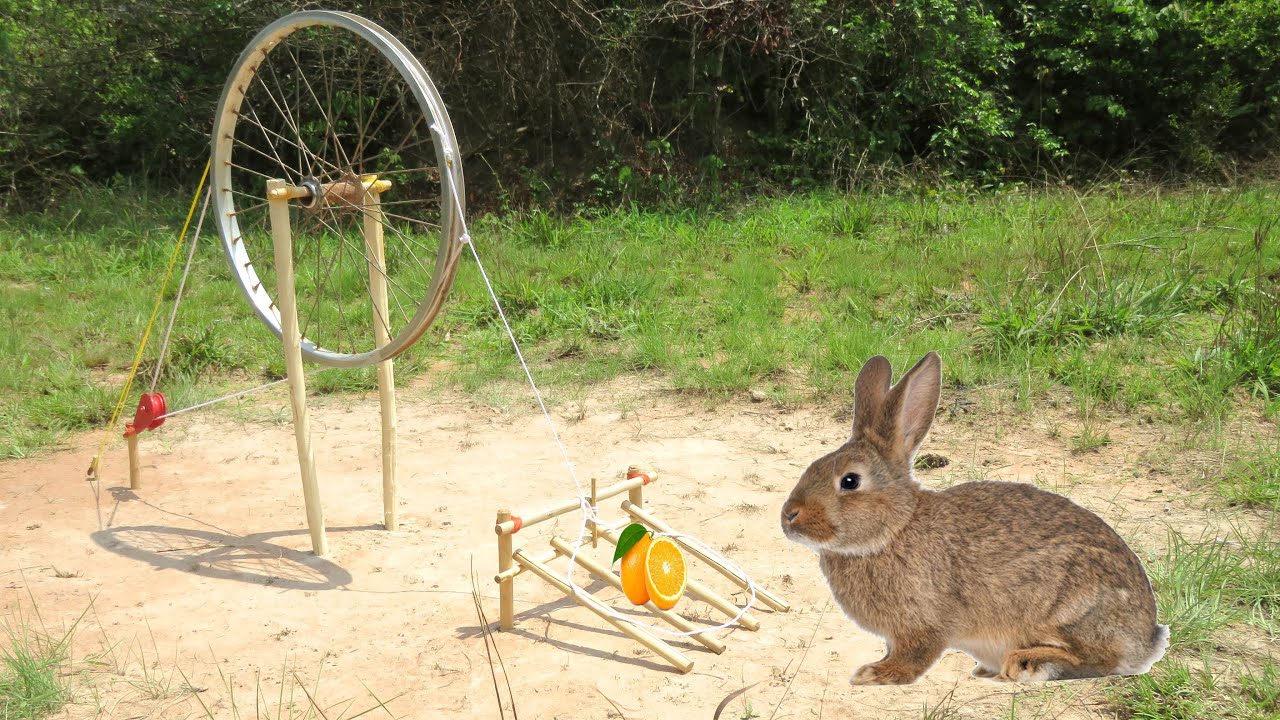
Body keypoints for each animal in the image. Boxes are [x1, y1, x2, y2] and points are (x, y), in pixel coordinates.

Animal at [780, 352, 1168, 685]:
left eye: (849, 481)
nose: (788, 517)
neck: (894, 529)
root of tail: (1147, 637)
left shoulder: (922, 625)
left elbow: (913, 656)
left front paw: (875, 674)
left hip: (1071, 609)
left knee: (1099, 660)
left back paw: (1028, 663)